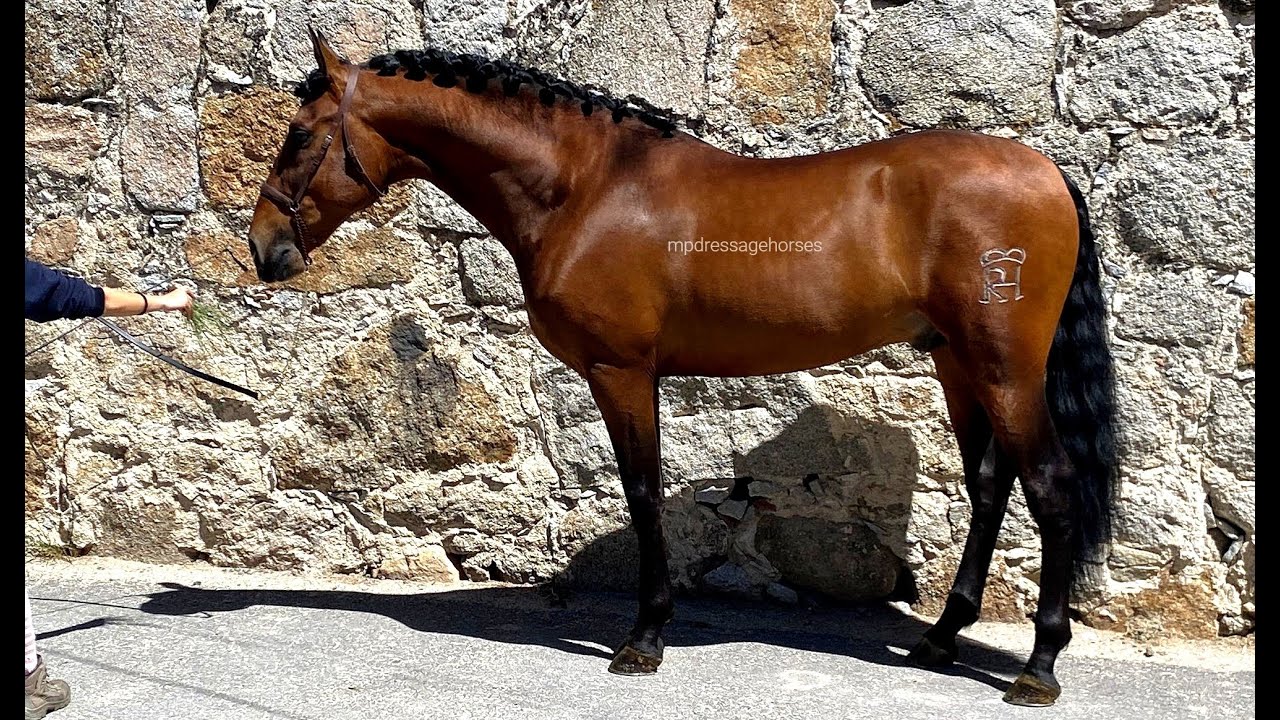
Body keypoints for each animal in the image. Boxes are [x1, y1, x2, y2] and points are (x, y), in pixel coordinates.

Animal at [247, 31, 1117, 707]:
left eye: (299, 137)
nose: (263, 249)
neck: (586, 188)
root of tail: (1047, 172)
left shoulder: (621, 370)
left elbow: (640, 492)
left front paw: (644, 637)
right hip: (958, 364)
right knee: (990, 485)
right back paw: (940, 639)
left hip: (1005, 369)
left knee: (1050, 485)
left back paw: (1039, 667)